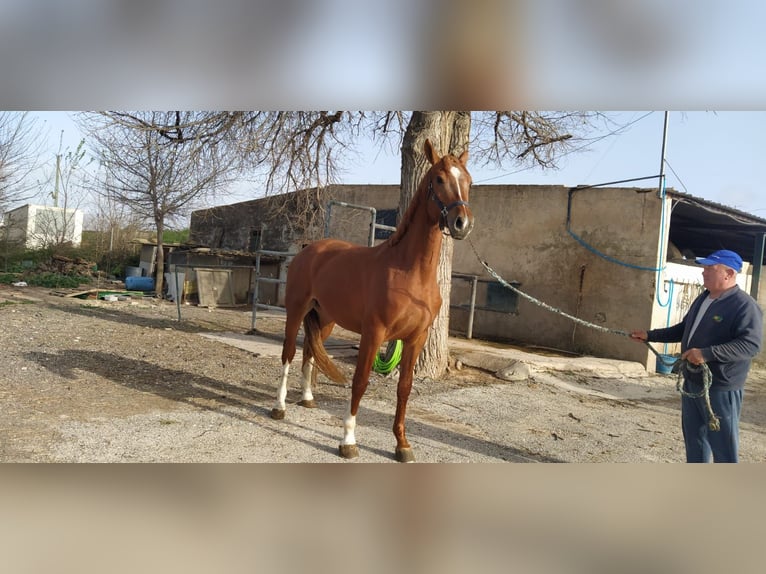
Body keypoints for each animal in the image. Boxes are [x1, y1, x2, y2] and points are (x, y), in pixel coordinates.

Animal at [270, 140, 474, 464]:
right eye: (439, 179)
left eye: (468, 181)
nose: (462, 223)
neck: (409, 272)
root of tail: (308, 250)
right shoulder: (374, 333)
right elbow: (361, 382)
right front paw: (348, 440)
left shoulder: (416, 338)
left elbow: (404, 387)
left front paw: (402, 444)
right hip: (296, 311)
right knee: (288, 354)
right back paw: (279, 407)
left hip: (325, 319)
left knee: (309, 352)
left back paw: (307, 399)